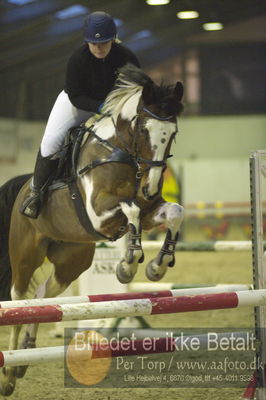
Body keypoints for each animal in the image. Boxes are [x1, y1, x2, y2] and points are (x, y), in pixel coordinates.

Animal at [0, 64, 184, 396]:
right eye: (143, 130)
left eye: (172, 134)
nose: (151, 187)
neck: (122, 153)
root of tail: (22, 187)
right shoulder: (99, 213)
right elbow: (131, 210)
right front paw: (128, 264)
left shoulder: (150, 210)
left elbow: (174, 211)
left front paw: (157, 266)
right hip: (25, 255)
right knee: (19, 301)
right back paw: (8, 373)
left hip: (71, 262)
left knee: (43, 297)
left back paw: (25, 358)